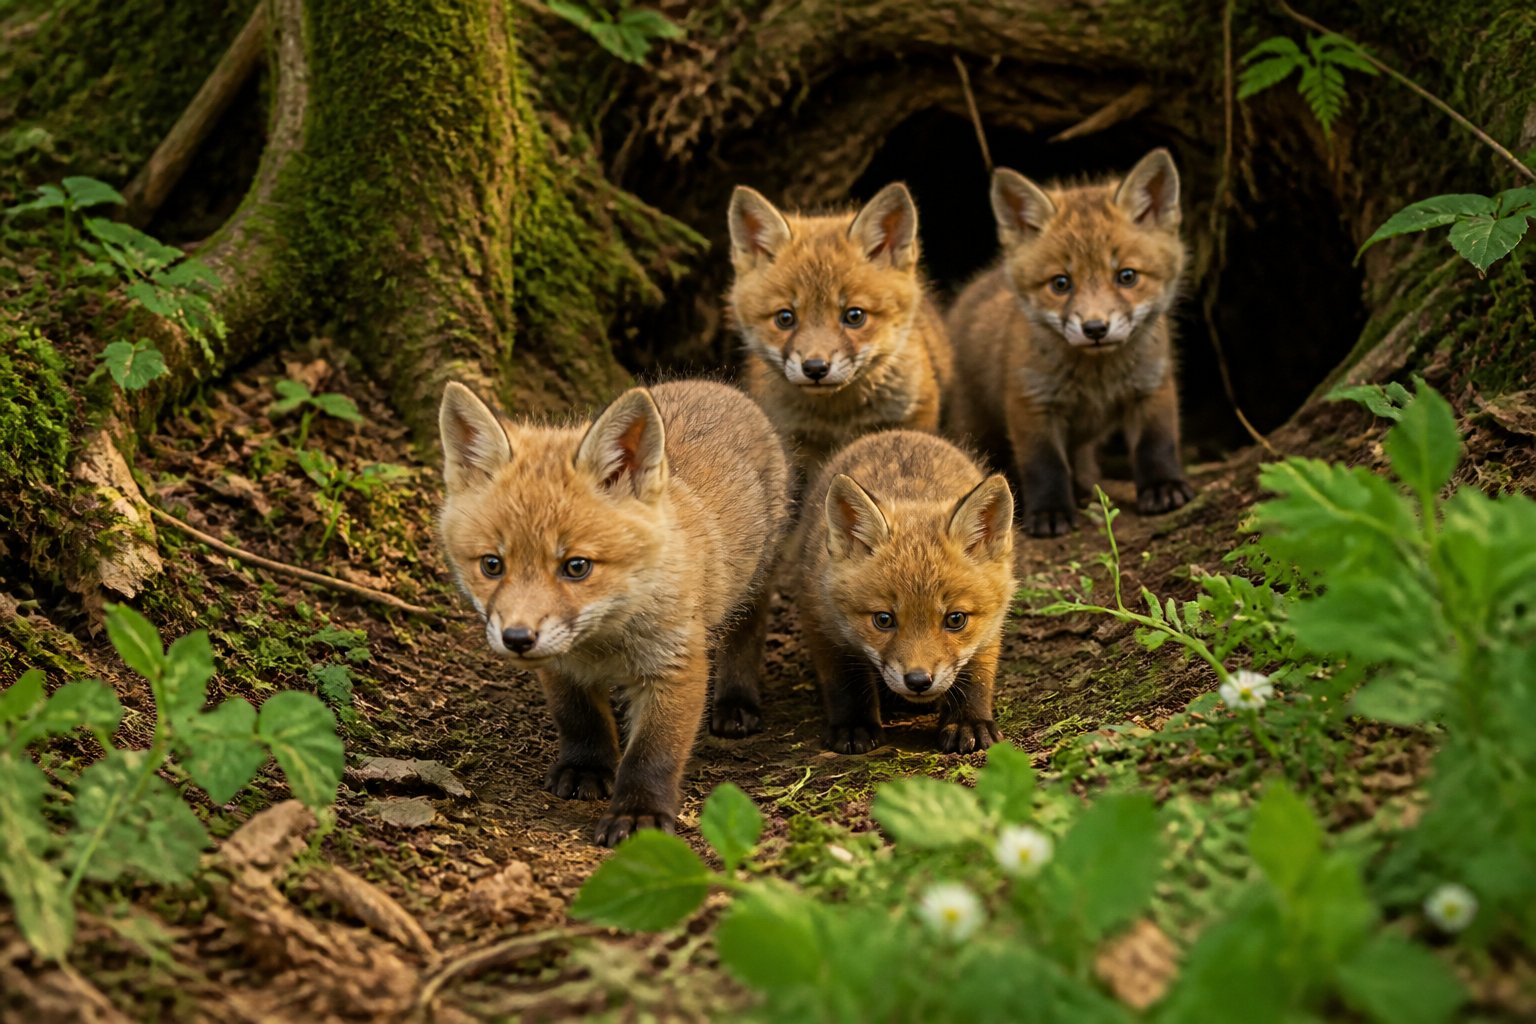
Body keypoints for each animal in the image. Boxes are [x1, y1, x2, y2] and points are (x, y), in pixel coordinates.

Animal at [437, 379, 789, 847]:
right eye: (492, 565)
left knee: (747, 632)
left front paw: (639, 813)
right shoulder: (560, 667)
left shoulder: (675, 664)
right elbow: (578, 718)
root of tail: (713, 385)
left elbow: (652, 753)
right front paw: (586, 767)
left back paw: (736, 700)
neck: (603, 642)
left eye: (577, 567)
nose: (517, 639)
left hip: (756, 577)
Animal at [793, 429, 1016, 755]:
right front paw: (854, 725)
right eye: (883, 620)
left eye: (956, 619)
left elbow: (975, 677)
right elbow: (846, 681)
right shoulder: (821, 617)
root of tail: (897, 432)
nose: (918, 681)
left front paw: (968, 722)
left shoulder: (990, 626)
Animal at [945, 148, 1194, 537]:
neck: (1096, 378)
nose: (1095, 328)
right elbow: (1044, 466)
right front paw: (1050, 512)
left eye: (1126, 276)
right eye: (1061, 283)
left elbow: (1157, 443)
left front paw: (1162, 487)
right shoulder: (1031, 402)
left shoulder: (1152, 386)